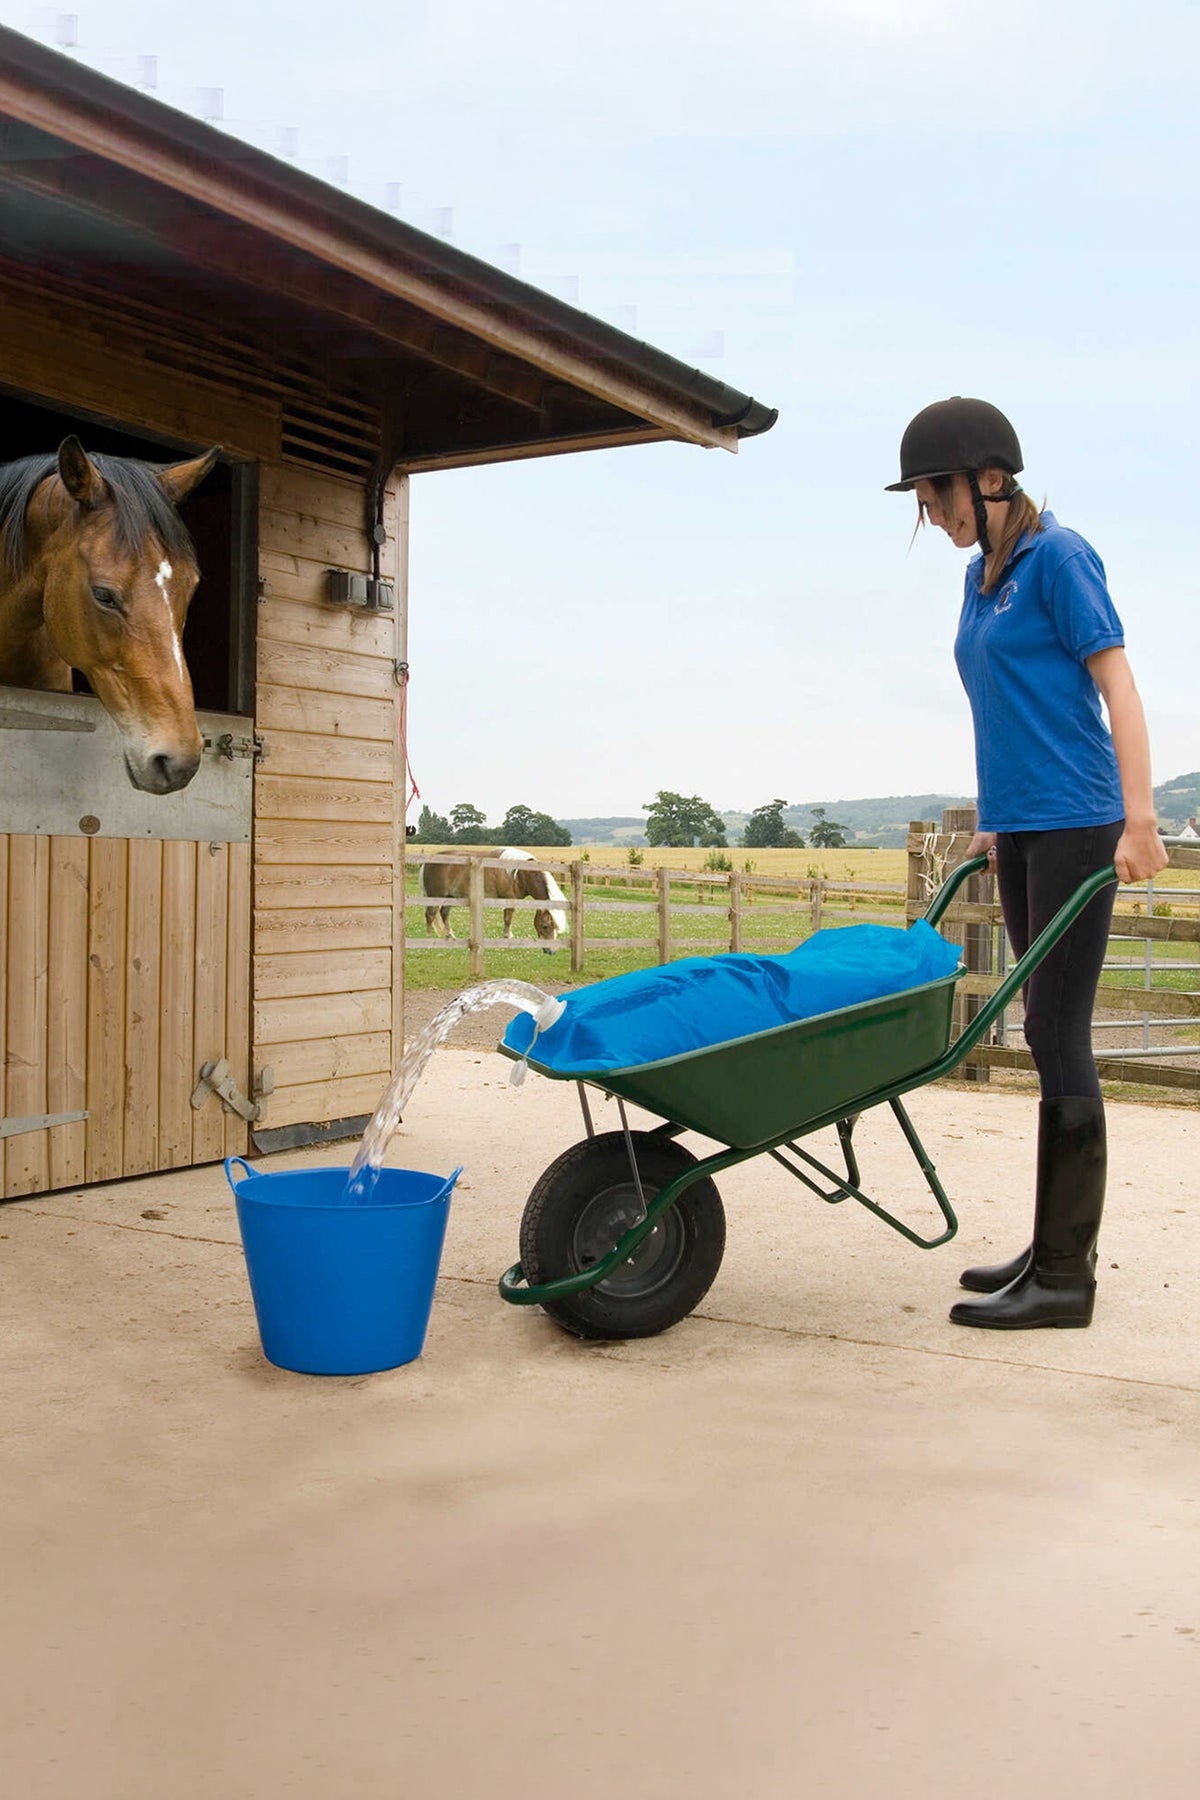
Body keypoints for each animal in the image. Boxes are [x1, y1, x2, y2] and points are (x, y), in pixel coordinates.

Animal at [420, 848, 569, 951]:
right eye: (545, 926)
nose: (552, 950)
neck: (519, 874)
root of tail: (428, 862)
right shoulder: (509, 898)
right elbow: (508, 919)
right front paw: (507, 937)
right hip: (436, 897)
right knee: (430, 915)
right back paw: (428, 938)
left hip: (449, 898)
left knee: (444, 914)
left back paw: (450, 936)